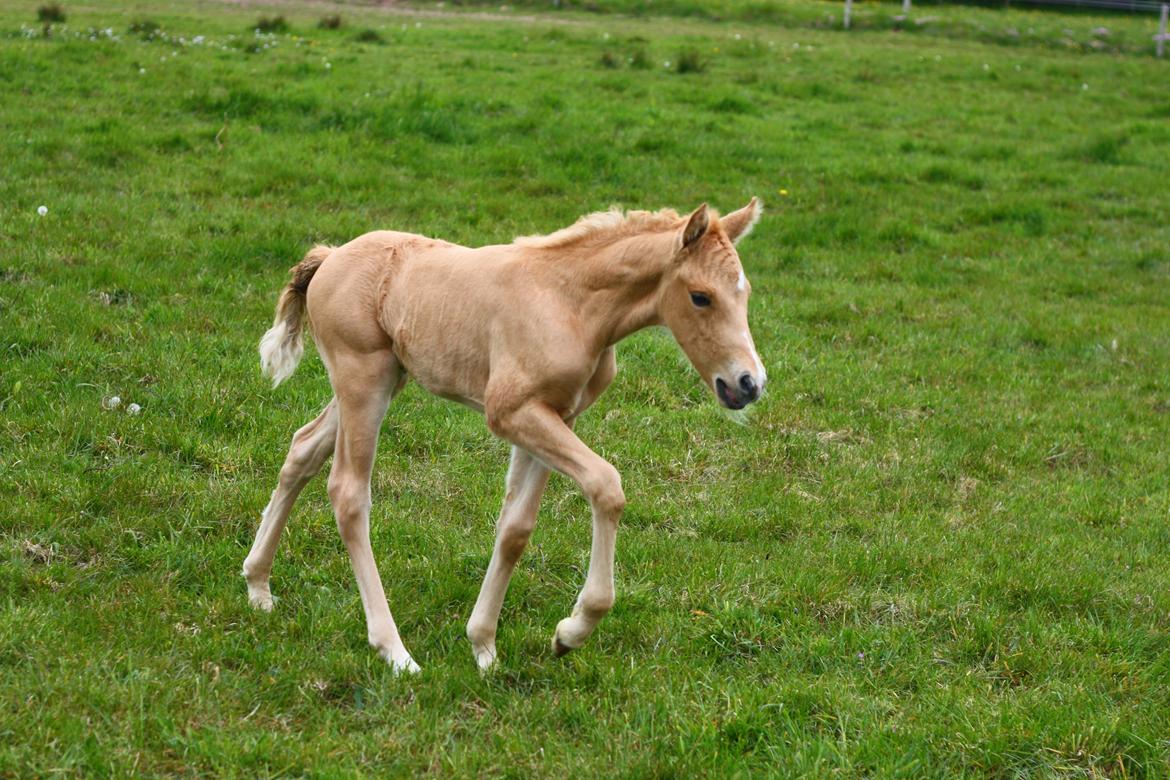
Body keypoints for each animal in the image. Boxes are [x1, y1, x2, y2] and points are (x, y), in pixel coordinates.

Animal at [244, 199, 767, 673]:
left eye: (745, 294)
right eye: (700, 296)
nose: (748, 384)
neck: (571, 302)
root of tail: (330, 256)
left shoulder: (555, 416)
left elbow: (515, 528)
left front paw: (484, 646)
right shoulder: (511, 412)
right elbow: (606, 485)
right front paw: (570, 632)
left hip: (384, 378)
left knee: (302, 450)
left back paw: (257, 586)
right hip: (363, 378)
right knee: (349, 493)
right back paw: (394, 651)